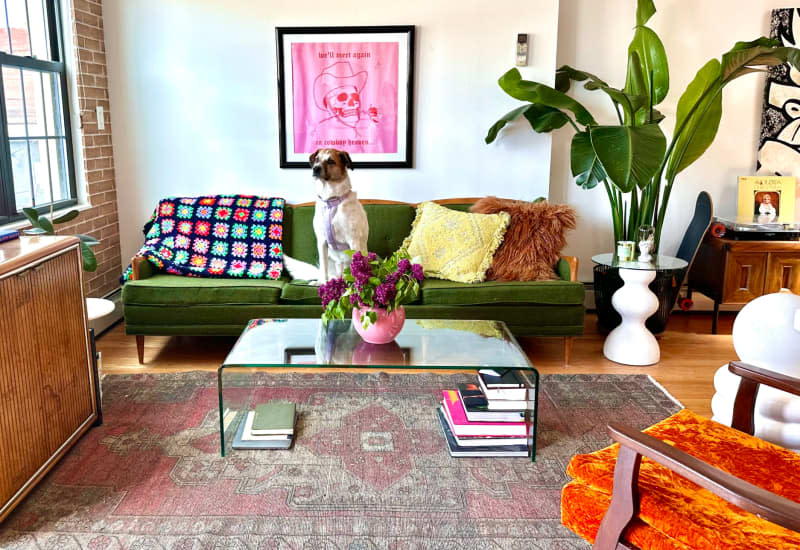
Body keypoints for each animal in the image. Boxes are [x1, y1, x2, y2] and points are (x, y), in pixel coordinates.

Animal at [282, 149, 368, 282]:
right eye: (317, 159)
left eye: (331, 161)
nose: (315, 168)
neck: (330, 201)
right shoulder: (322, 241)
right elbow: (324, 270)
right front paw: (323, 283)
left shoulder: (353, 240)